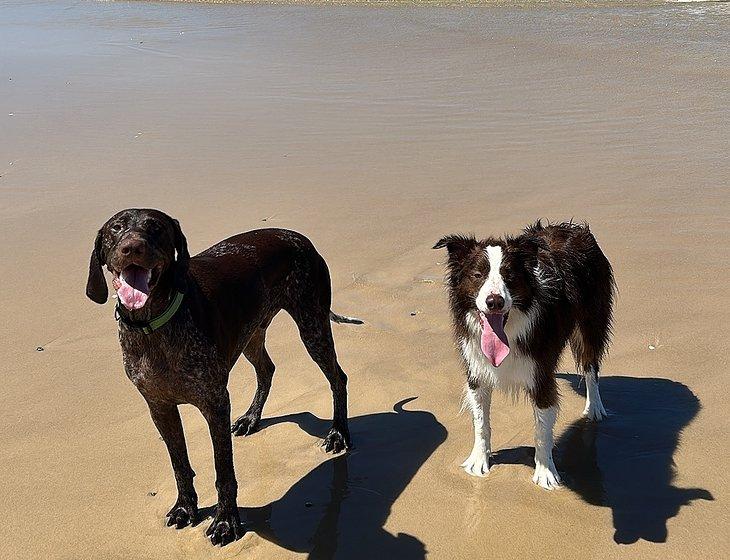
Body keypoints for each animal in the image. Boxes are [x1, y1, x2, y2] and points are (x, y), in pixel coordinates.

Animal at [86, 208, 360, 544]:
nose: (132, 248)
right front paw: (186, 507)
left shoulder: (214, 403)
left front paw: (226, 521)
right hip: (251, 335)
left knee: (338, 378)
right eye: (116, 228)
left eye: (156, 228)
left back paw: (338, 433)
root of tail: (299, 237)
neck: (154, 325)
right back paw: (252, 418)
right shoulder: (160, 407)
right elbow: (180, 464)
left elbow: (223, 470)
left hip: (313, 327)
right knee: (267, 370)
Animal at [432, 221, 616, 488]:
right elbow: (480, 422)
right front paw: (479, 460)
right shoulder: (477, 372)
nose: (494, 302)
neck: (509, 330)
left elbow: (542, 429)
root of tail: (575, 228)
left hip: (591, 322)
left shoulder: (541, 374)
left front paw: (545, 472)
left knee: (590, 365)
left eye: (509, 276)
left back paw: (595, 407)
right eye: (478, 275)